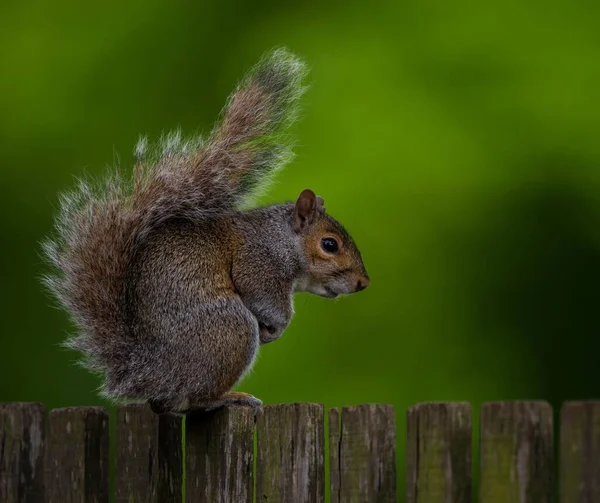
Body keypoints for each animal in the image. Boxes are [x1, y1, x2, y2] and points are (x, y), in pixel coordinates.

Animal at [42, 49, 368, 416]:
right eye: (329, 244)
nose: (363, 282)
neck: (281, 238)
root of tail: (152, 373)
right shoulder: (258, 263)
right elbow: (266, 298)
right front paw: (279, 326)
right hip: (229, 329)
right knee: (197, 398)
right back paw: (232, 396)